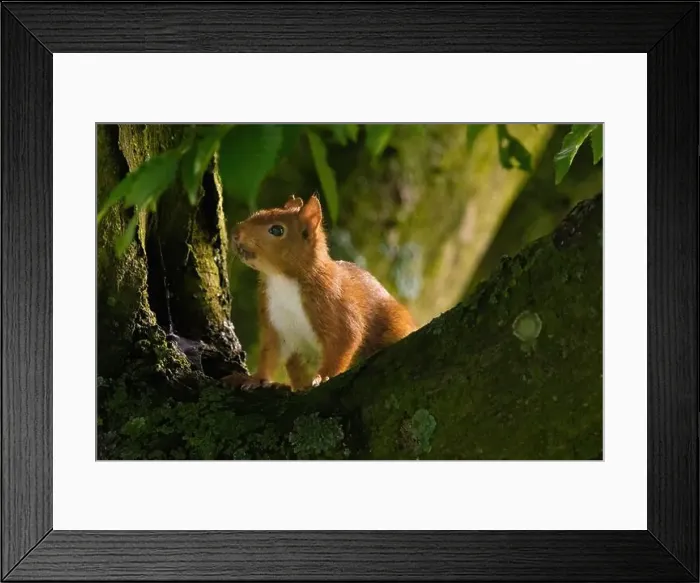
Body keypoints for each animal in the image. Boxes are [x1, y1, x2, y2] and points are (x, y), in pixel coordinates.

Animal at [228, 193, 417, 391]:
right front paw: (255, 378)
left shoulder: (337, 305)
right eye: (258, 212)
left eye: (277, 230)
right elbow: (270, 354)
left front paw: (324, 376)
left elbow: (344, 342)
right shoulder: (274, 323)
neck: (282, 279)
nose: (235, 233)